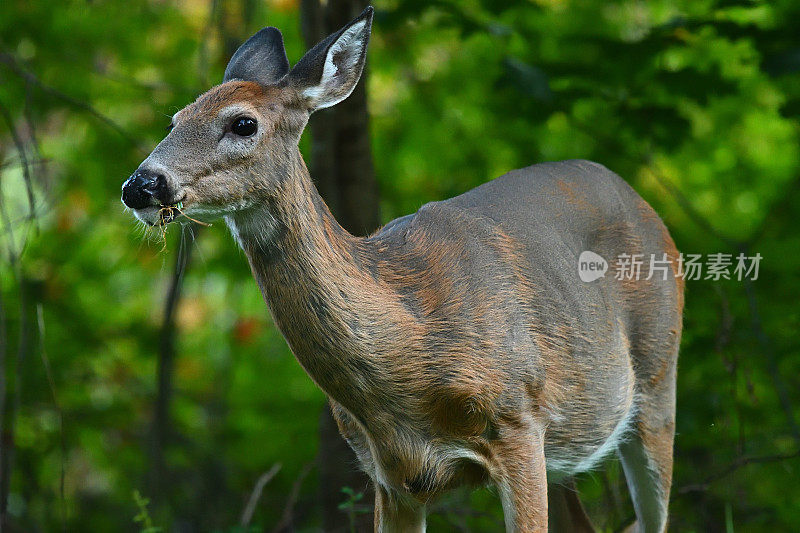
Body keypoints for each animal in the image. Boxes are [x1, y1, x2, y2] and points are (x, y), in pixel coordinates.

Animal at [120, 7, 680, 532]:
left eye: (242, 123)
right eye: (175, 120)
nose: (140, 185)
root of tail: (641, 201)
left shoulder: (518, 420)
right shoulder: (392, 475)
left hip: (657, 381)